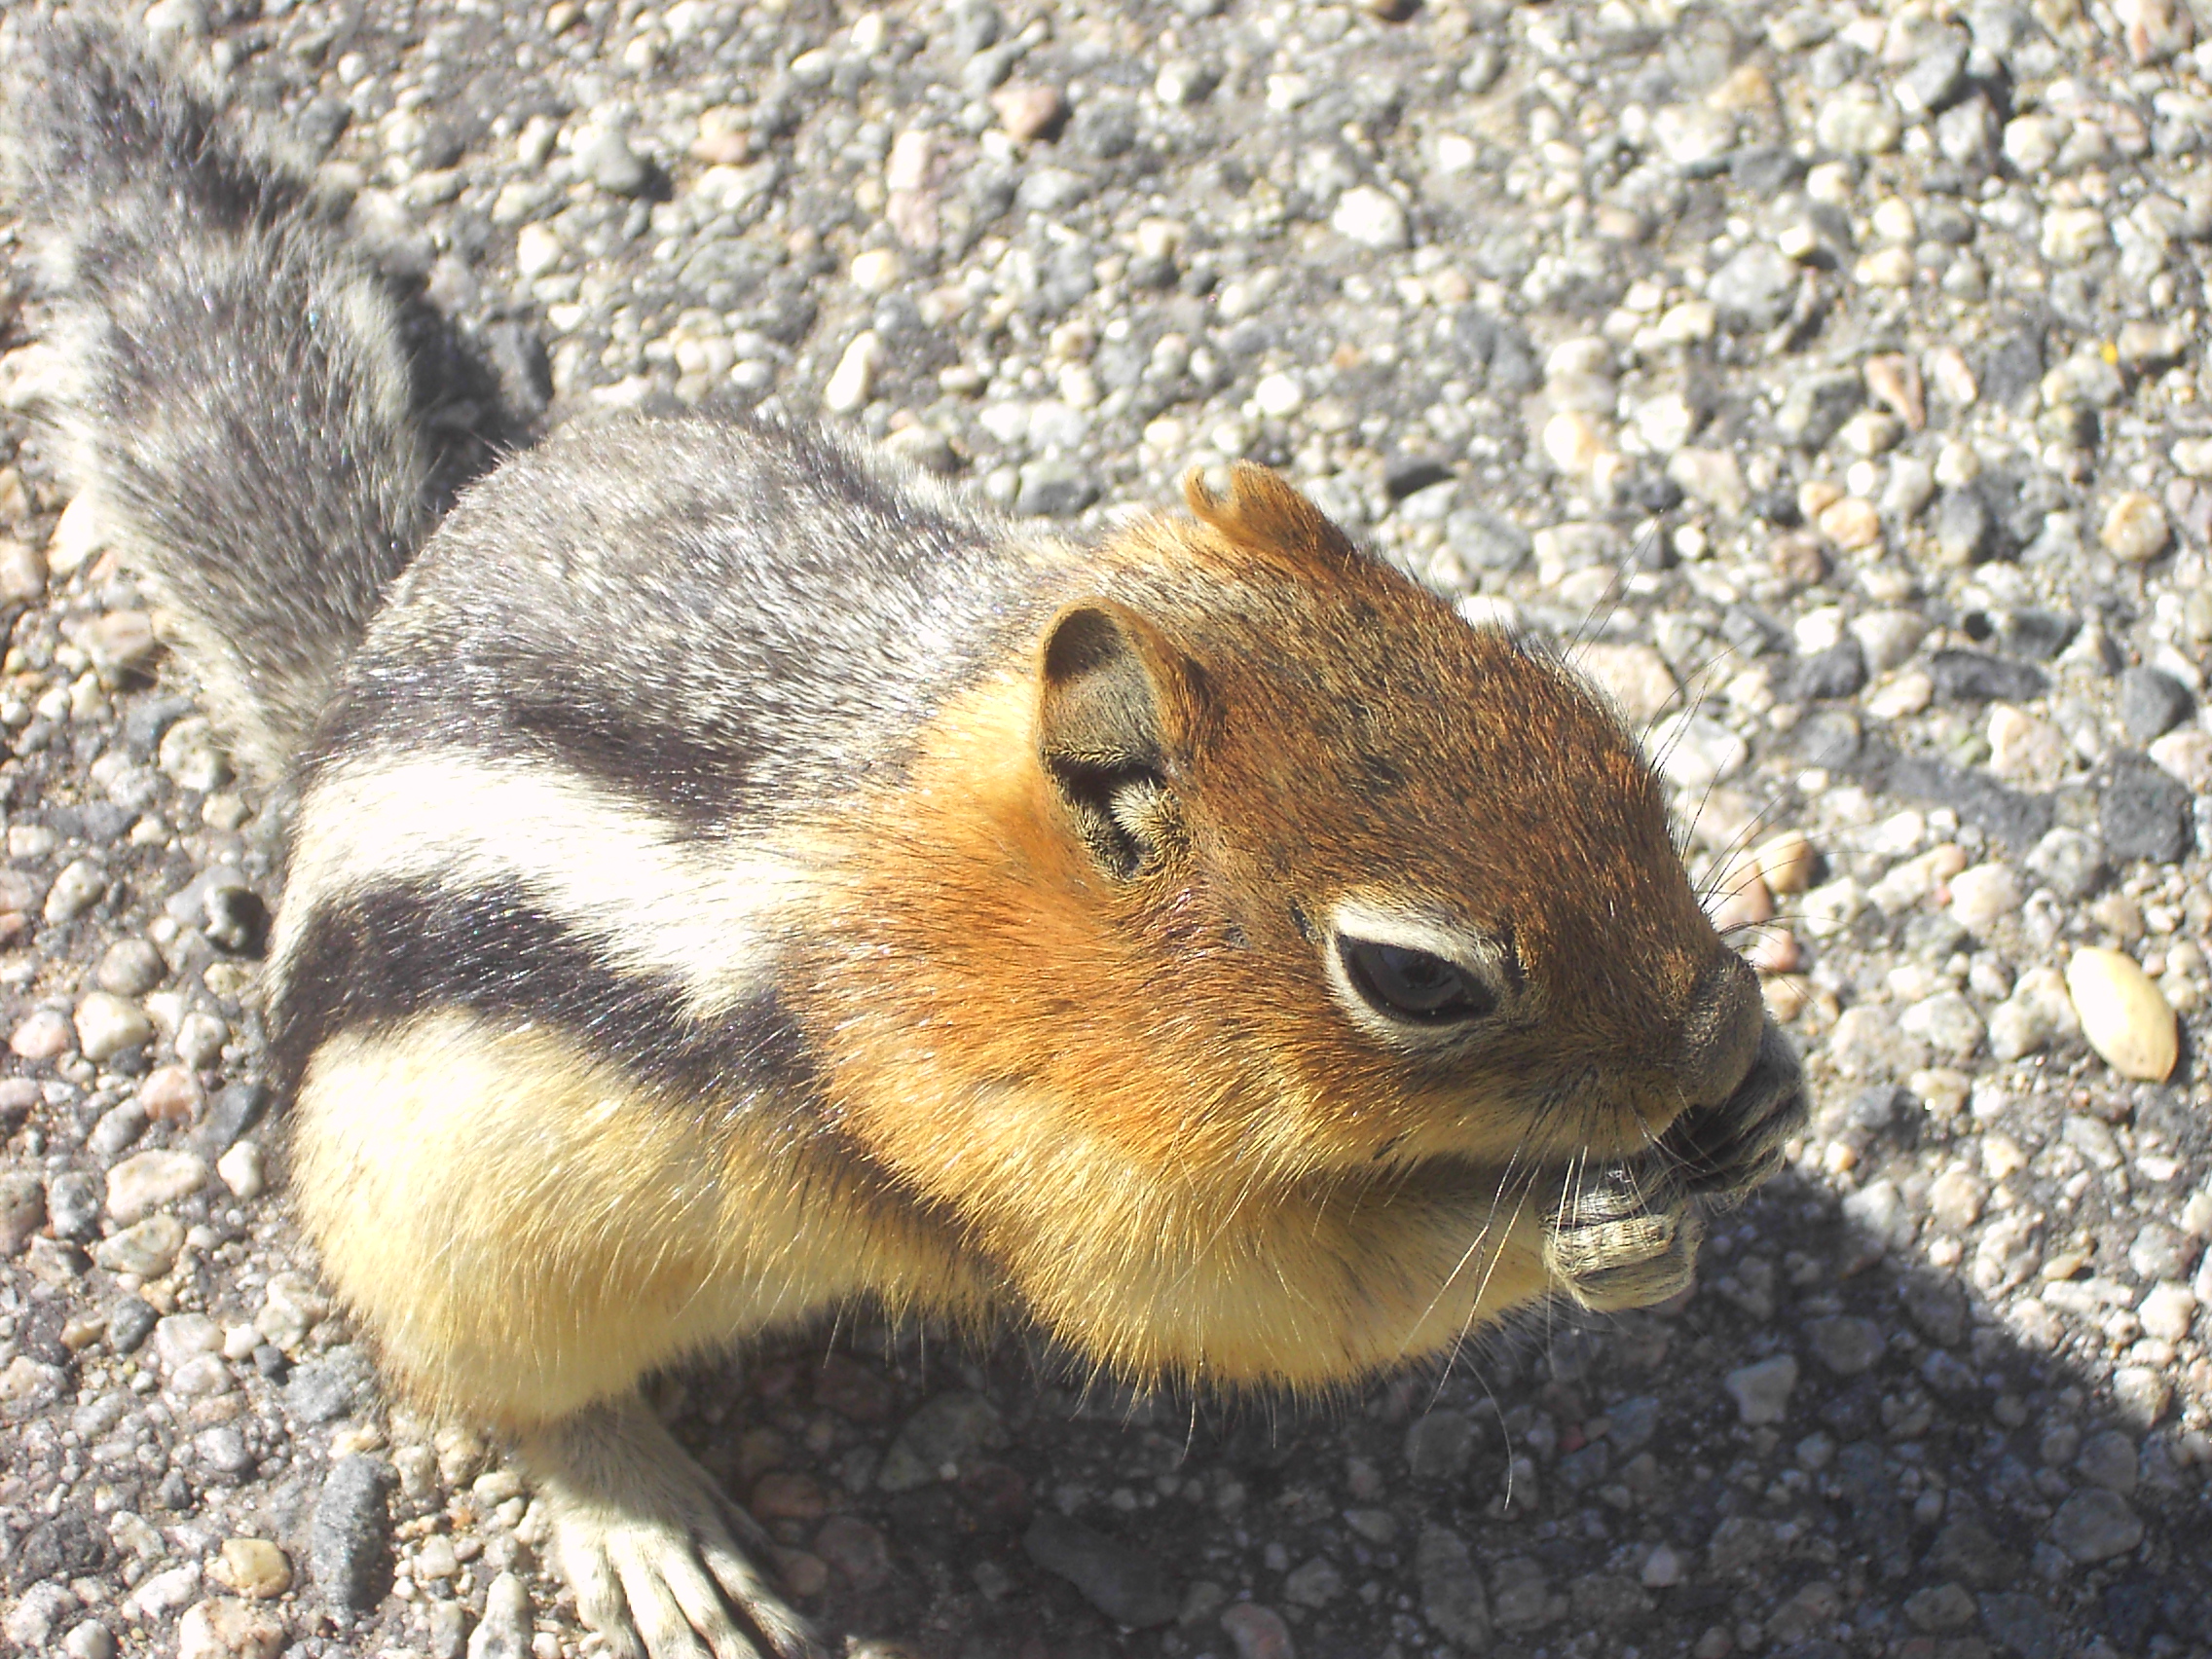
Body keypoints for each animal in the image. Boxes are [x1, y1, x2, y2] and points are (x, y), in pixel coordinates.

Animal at [2, 19, 1808, 1659]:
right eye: (1413, 978)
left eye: (1600, 733)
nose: (1716, 1032)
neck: (996, 913)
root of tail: (339, 706)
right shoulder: (1023, 1148)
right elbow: (1272, 1303)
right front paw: (1578, 1229)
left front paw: (1765, 1088)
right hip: (455, 1236)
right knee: (496, 1390)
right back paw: (639, 1520)